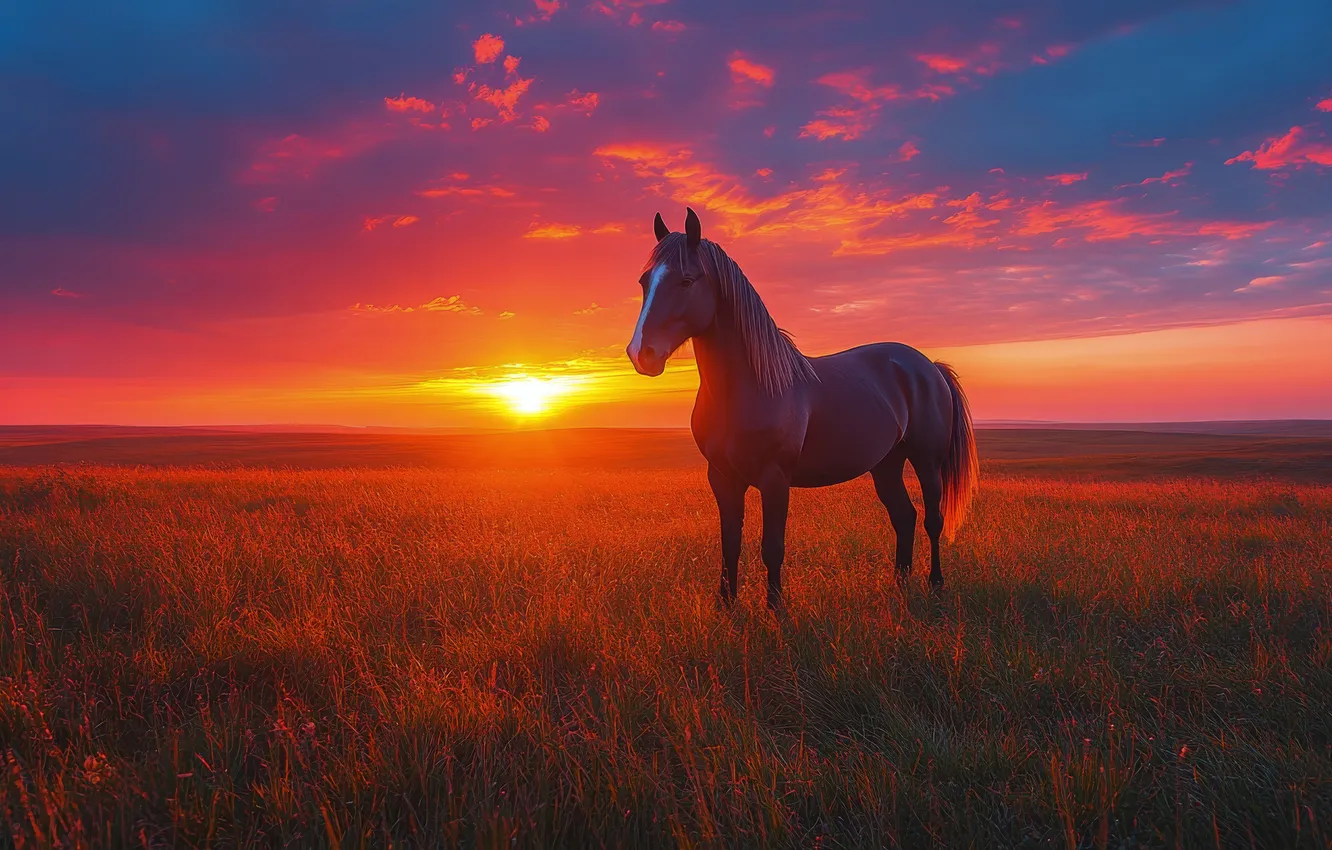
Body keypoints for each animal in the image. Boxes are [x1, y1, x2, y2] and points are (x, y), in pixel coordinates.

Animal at [626, 208, 979, 610]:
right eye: (644, 281)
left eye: (686, 281)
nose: (641, 354)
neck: (748, 386)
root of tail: (928, 366)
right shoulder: (722, 477)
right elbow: (730, 545)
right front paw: (727, 606)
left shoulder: (775, 479)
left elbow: (772, 548)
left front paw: (775, 609)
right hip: (886, 464)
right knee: (904, 516)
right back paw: (899, 587)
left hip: (926, 461)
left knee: (932, 519)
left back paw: (935, 585)